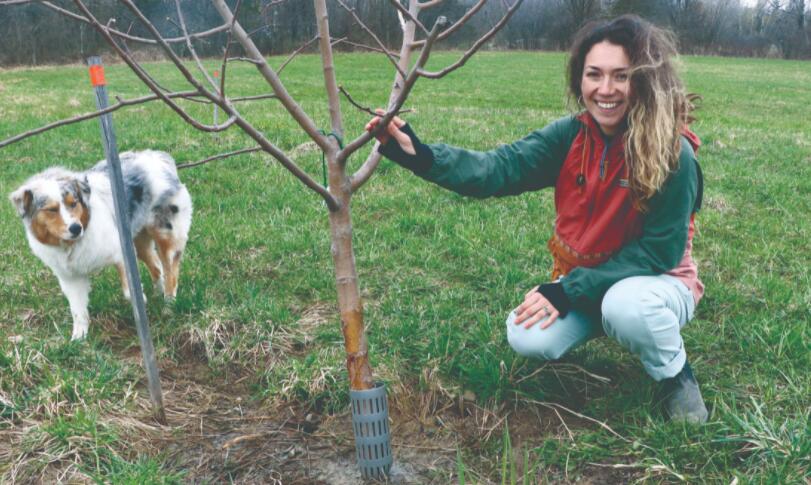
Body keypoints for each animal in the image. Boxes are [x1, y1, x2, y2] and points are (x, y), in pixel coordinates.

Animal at [11, 151, 192, 340]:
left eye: (73, 203)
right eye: (51, 209)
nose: (75, 228)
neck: (72, 244)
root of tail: (159, 156)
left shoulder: (121, 253)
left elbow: (129, 291)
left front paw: (141, 302)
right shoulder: (70, 278)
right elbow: (78, 311)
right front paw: (78, 338)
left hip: (166, 235)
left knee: (171, 273)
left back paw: (168, 305)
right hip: (138, 240)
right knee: (157, 267)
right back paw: (158, 294)